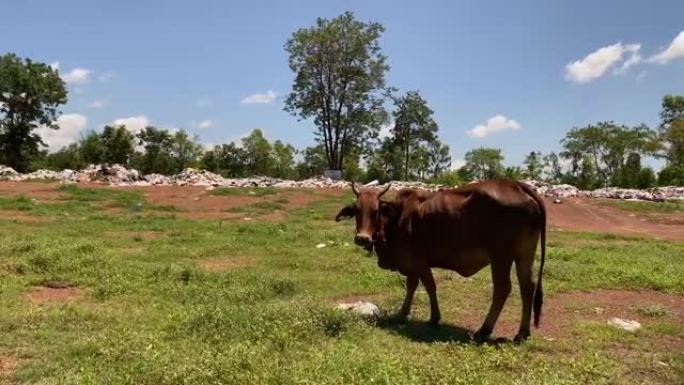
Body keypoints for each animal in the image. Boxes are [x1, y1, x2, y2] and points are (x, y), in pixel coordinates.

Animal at [334, 180, 548, 342]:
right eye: (356, 210)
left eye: (376, 210)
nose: (362, 238)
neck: (397, 217)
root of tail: (516, 184)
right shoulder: (412, 264)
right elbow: (411, 287)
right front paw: (403, 312)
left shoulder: (419, 262)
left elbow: (429, 287)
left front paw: (434, 317)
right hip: (524, 256)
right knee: (527, 287)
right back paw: (522, 333)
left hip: (501, 258)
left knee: (503, 289)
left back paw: (484, 330)